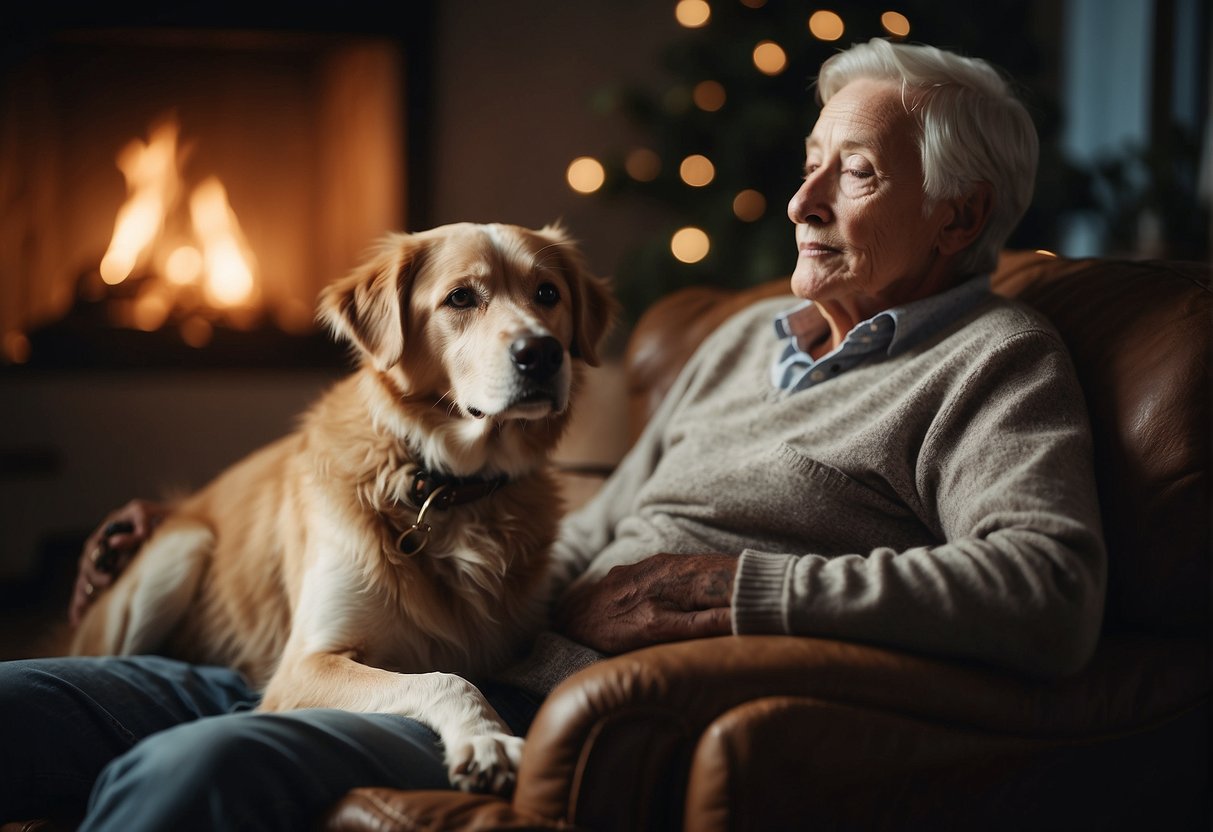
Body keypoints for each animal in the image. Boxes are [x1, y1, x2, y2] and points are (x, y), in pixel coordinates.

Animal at [67, 221, 616, 795]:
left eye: (547, 294)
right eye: (461, 297)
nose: (543, 353)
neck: (443, 484)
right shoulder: (304, 665)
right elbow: (445, 679)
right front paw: (485, 739)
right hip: (183, 547)